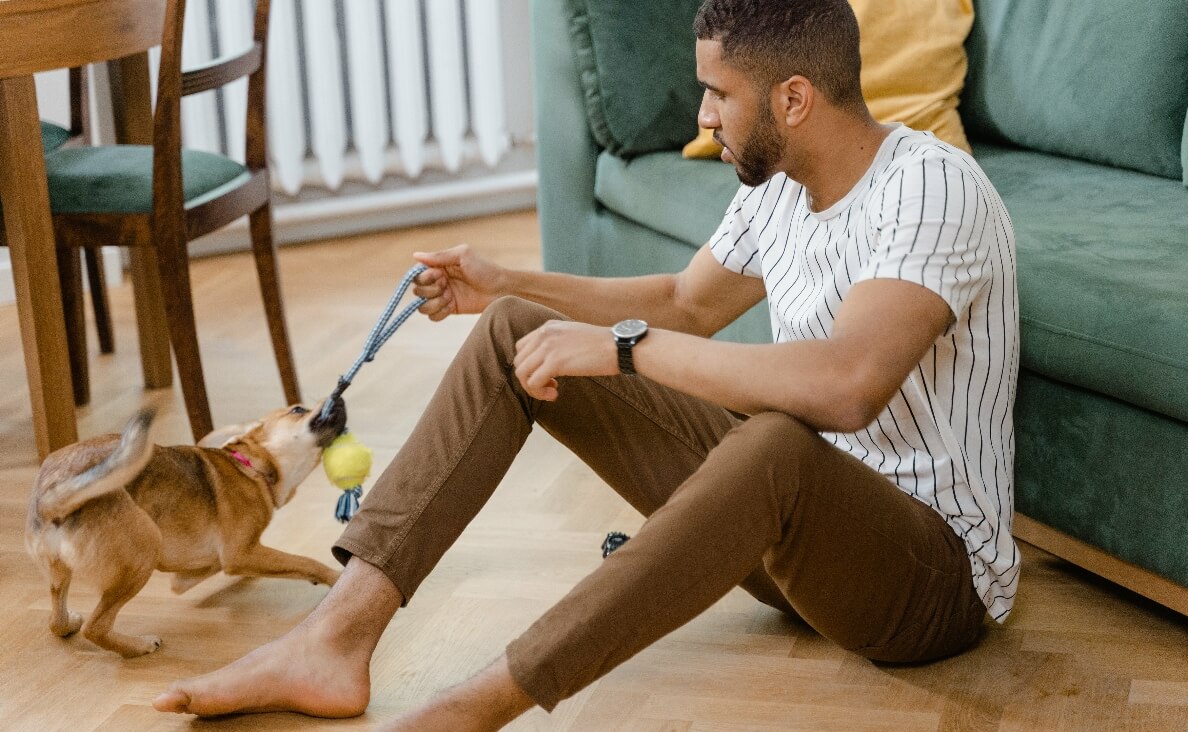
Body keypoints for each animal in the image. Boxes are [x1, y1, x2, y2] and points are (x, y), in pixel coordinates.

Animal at [25, 399, 346, 655]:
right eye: (298, 409)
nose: (340, 400)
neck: (249, 467)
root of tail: (51, 498)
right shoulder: (240, 553)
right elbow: (305, 562)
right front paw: (335, 577)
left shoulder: (206, 566)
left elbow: (195, 575)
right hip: (145, 550)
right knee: (96, 627)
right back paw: (138, 646)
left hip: (61, 573)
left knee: (57, 620)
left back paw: (69, 624)